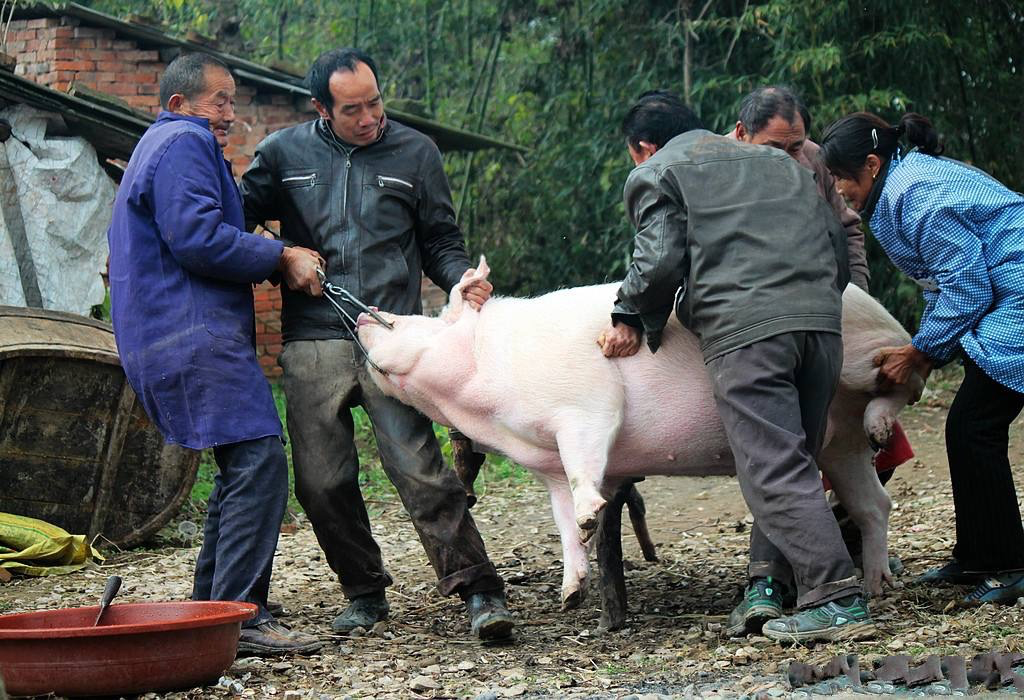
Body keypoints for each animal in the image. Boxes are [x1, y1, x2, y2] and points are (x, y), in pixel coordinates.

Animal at [360, 259, 921, 605]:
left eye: (413, 320)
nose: (368, 314)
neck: (488, 405)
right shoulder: (546, 464)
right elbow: (561, 517)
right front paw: (570, 595)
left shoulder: (585, 406)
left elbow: (586, 462)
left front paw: (592, 514)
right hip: (836, 444)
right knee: (874, 503)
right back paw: (879, 584)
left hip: (863, 355)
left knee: (909, 374)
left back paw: (883, 418)